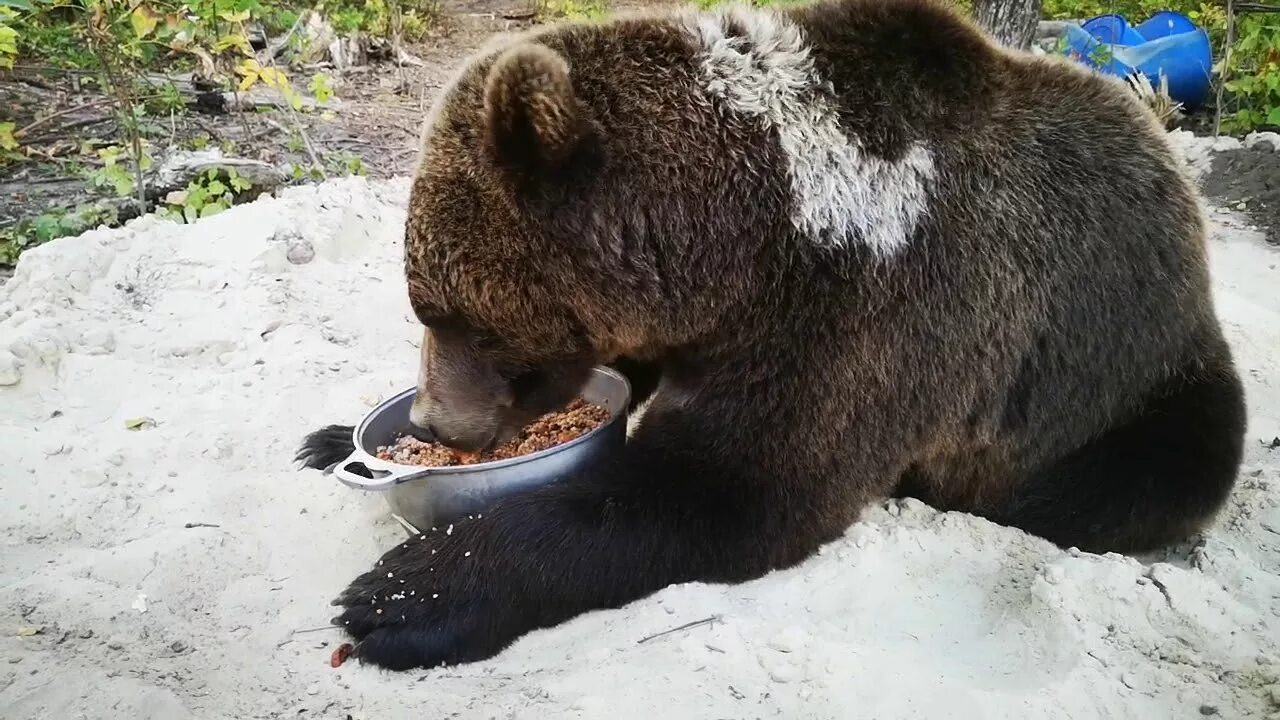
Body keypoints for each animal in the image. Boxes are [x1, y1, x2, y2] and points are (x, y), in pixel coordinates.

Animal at [294, 0, 1244, 666]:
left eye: (454, 317)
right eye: (428, 308)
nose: (434, 423)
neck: (755, 238)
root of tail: (1177, 180)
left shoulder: (873, 310)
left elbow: (736, 487)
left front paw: (405, 594)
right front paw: (331, 436)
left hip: (1136, 369)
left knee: (1141, 474)